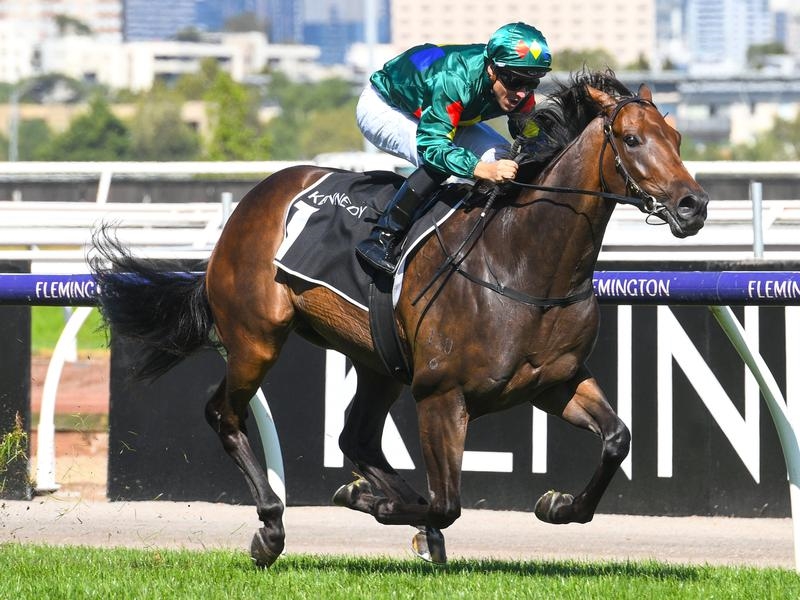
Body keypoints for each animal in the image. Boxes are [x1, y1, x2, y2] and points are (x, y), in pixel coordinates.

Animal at [90, 71, 708, 568]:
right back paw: (271, 525)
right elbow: (447, 501)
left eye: (677, 139)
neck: (523, 263)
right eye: (633, 139)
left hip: (376, 361)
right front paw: (371, 501)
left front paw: (558, 505)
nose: (693, 206)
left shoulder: (554, 382)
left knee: (357, 437)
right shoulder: (440, 394)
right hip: (255, 338)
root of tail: (251, 202)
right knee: (225, 413)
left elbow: (617, 439)